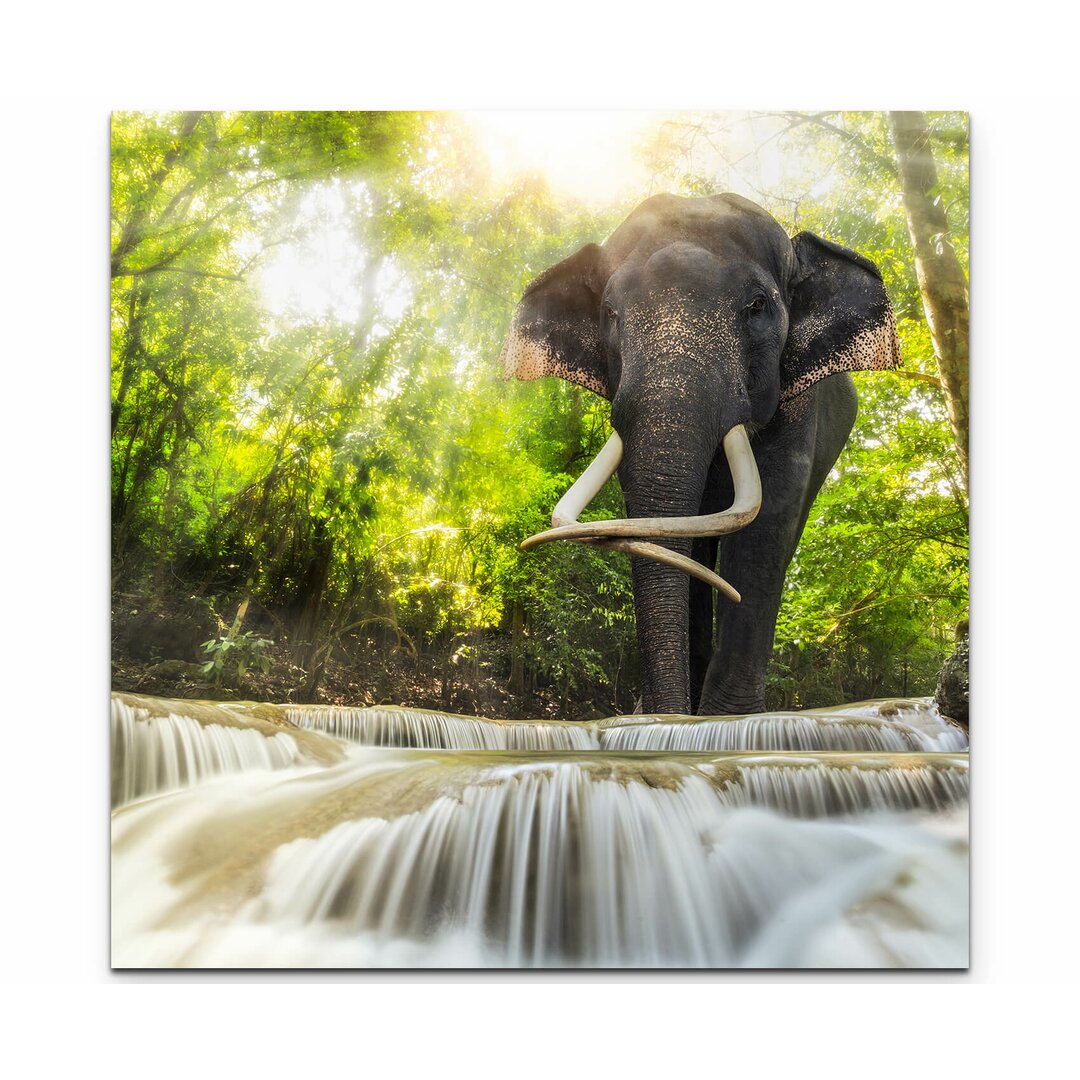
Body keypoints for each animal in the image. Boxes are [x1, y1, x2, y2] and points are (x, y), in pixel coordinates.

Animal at [501, 194, 898, 717]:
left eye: (757, 305)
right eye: (610, 313)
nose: (656, 712)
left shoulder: (797, 403)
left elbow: (767, 523)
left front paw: (726, 720)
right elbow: (663, 531)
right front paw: (664, 716)